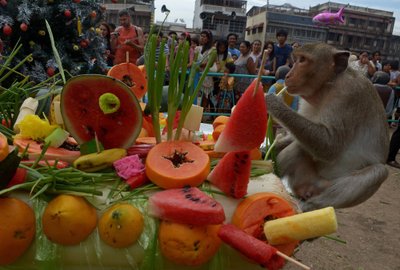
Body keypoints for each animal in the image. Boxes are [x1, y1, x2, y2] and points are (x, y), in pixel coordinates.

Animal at [268, 43, 390, 211]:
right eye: (297, 59)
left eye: (302, 60)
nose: (287, 76)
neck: (327, 86)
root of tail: (311, 189)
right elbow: (297, 137)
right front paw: (269, 148)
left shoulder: (348, 95)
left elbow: (330, 145)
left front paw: (275, 103)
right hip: (302, 180)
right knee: (300, 147)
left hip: (325, 188)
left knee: (379, 172)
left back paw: (308, 206)